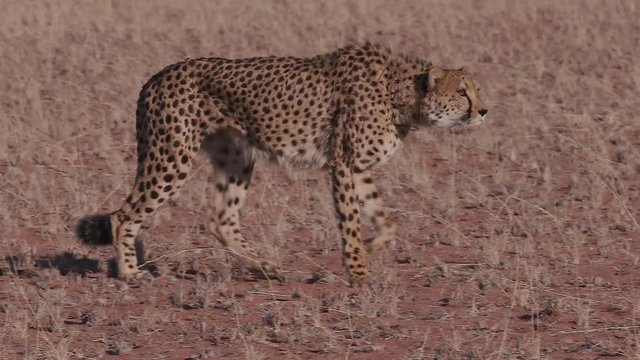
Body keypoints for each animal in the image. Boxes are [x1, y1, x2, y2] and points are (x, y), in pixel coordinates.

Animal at [76, 43, 484, 286]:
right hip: (172, 157)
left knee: (221, 220)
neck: (401, 94)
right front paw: (358, 272)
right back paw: (130, 274)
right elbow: (350, 223)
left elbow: (387, 221)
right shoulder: (342, 163)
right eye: (462, 93)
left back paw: (265, 267)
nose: (483, 112)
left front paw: (369, 250)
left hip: (236, 159)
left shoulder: (356, 168)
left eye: (477, 90)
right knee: (123, 215)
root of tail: (157, 76)